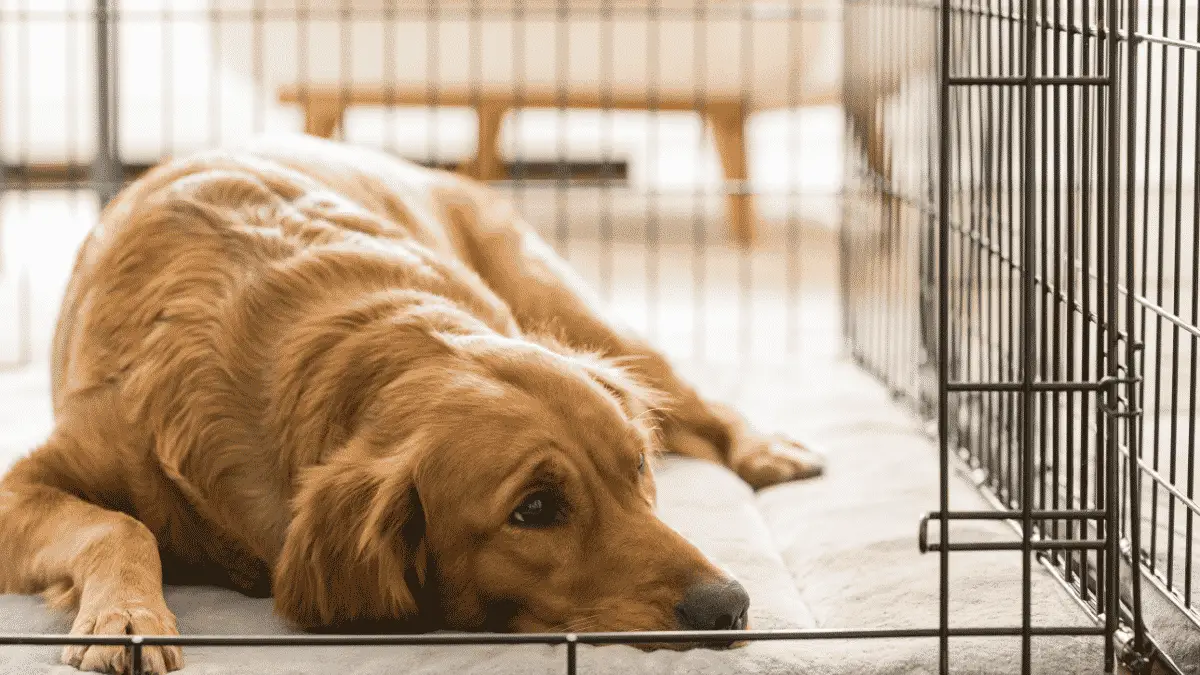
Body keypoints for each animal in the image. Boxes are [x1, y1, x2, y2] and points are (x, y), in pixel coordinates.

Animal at [0, 133, 825, 667]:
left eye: (638, 470)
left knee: (697, 400)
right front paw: (127, 615)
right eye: (534, 509)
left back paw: (769, 450)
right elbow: (118, 524)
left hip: (574, 309)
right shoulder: (20, 487)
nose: (729, 605)